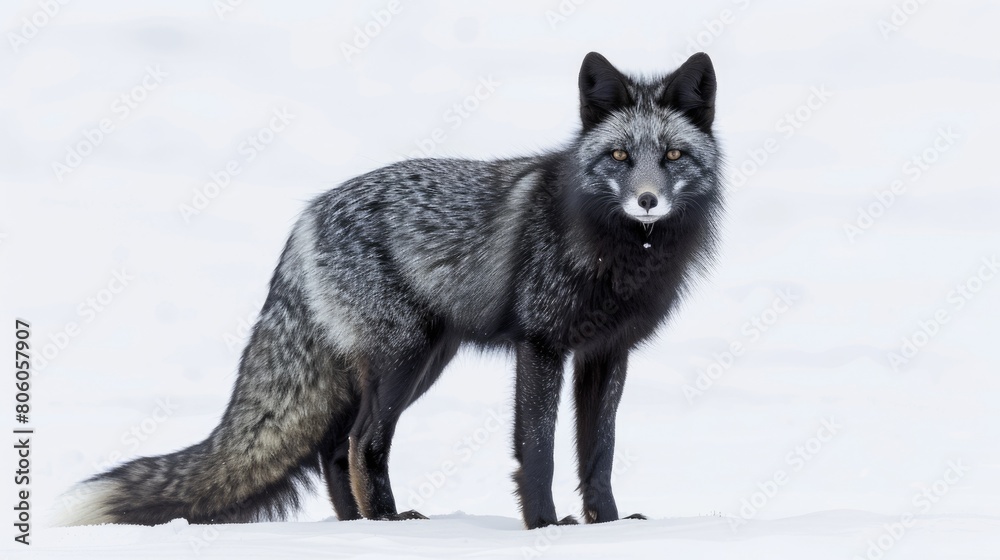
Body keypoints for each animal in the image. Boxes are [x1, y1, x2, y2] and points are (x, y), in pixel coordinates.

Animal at [61, 51, 723, 530]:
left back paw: (359, 528)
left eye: (672, 155)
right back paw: (385, 524)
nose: (647, 201)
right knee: (361, 444)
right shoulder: (540, 346)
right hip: (404, 357)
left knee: (335, 450)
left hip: (422, 361)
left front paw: (606, 526)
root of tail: (305, 218)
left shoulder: (606, 353)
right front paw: (544, 528)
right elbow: (538, 449)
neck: (621, 254)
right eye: (619, 155)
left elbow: (598, 452)